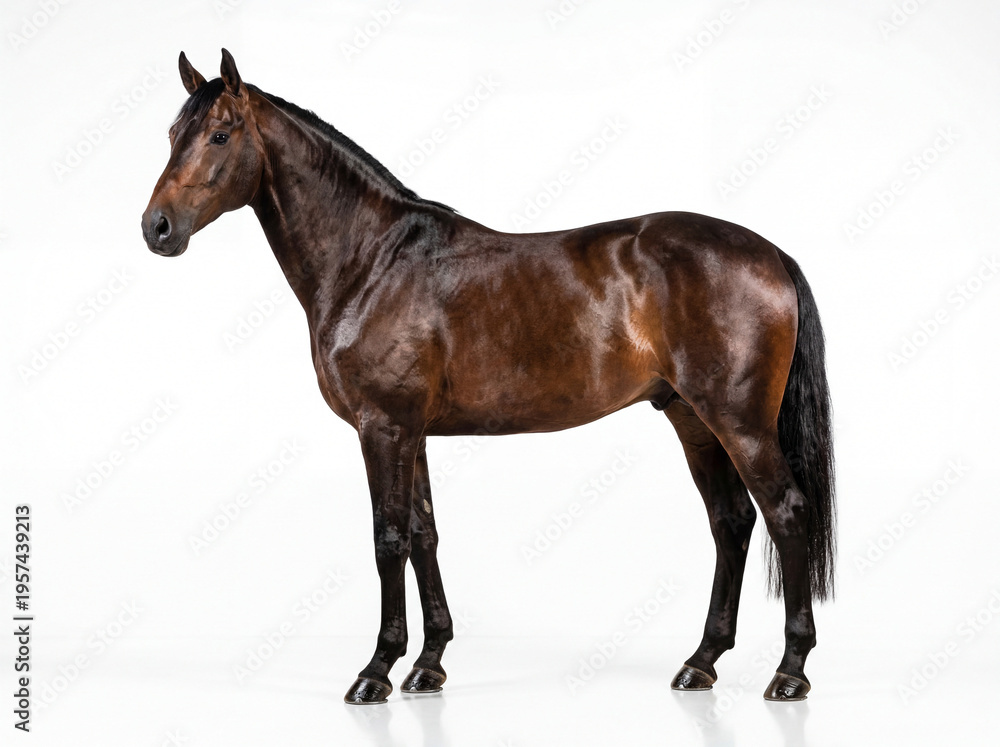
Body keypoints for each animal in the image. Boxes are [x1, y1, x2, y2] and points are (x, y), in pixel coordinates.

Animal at [142, 49, 835, 704]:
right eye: (174, 131)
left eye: (220, 134)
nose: (157, 228)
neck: (370, 261)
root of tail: (771, 253)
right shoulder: (411, 432)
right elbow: (424, 534)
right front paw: (428, 664)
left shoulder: (382, 427)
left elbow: (388, 538)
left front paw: (376, 670)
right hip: (692, 419)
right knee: (731, 522)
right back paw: (701, 662)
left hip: (739, 422)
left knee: (786, 511)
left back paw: (790, 671)